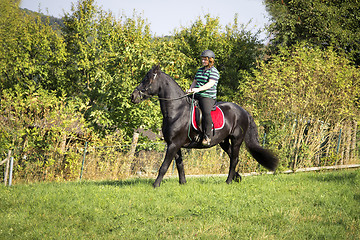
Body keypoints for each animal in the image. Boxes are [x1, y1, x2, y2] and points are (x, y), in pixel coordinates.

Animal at [131, 65, 278, 188]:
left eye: (148, 80)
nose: (133, 96)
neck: (177, 111)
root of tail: (243, 111)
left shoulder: (173, 144)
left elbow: (164, 166)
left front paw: (155, 185)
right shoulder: (174, 144)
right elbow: (179, 164)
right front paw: (183, 183)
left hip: (237, 139)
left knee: (234, 159)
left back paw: (228, 181)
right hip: (224, 141)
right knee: (233, 157)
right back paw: (237, 177)